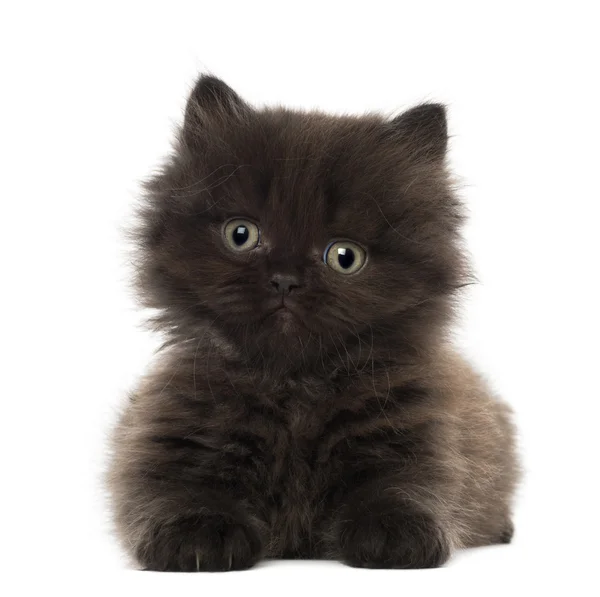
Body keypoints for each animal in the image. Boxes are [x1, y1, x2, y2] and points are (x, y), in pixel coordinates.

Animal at [108, 77, 520, 572]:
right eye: (241, 234)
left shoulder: (412, 431)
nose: (285, 279)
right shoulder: (176, 435)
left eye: (344, 256)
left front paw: (393, 534)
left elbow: (402, 485)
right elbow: (175, 489)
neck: (294, 388)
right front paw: (198, 534)